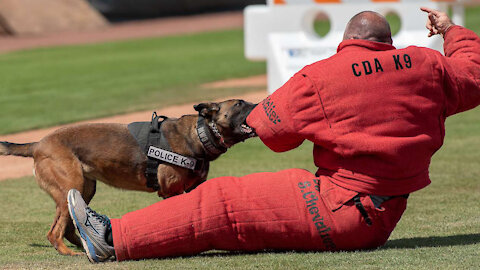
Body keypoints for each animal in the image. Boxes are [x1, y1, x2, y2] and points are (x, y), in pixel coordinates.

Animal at [0, 99, 256, 255]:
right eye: (239, 104)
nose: (260, 103)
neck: (201, 133)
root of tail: (37, 144)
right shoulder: (170, 191)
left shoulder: (193, 190)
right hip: (70, 189)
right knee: (54, 233)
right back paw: (69, 252)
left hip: (83, 189)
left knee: (69, 228)